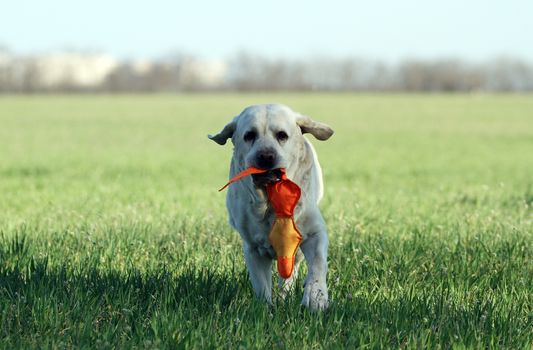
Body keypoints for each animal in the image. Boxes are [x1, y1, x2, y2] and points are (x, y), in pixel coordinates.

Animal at [208, 103, 332, 308]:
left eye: (282, 135)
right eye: (249, 135)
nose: (266, 156)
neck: (271, 198)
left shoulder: (314, 232)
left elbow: (317, 264)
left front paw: (315, 298)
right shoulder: (253, 248)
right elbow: (261, 285)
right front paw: (265, 308)